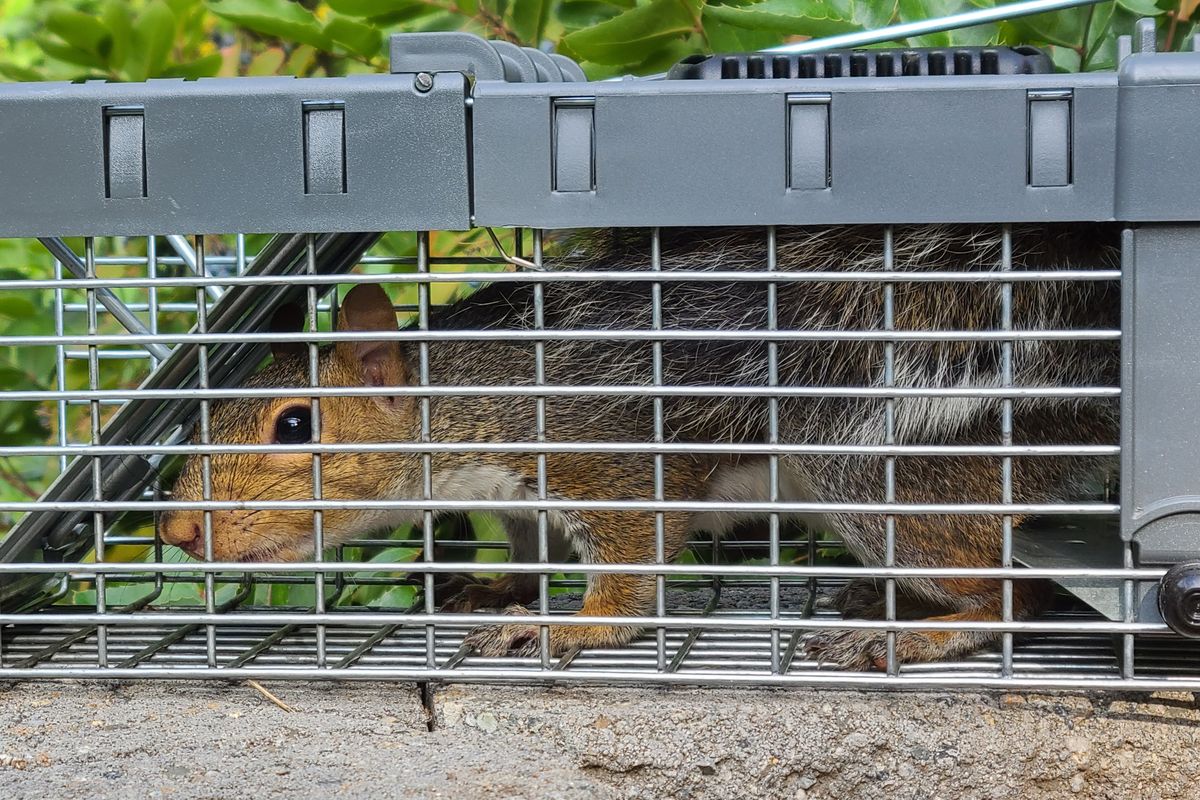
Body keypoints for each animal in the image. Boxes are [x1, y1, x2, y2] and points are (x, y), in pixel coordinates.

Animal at [154, 225, 1118, 671]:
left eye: (294, 425)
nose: (177, 533)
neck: (472, 398)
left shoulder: (610, 461)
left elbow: (629, 576)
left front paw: (564, 623)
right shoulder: (519, 502)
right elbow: (528, 552)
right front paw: (499, 587)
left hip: (866, 472)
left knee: (1015, 592)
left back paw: (916, 635)